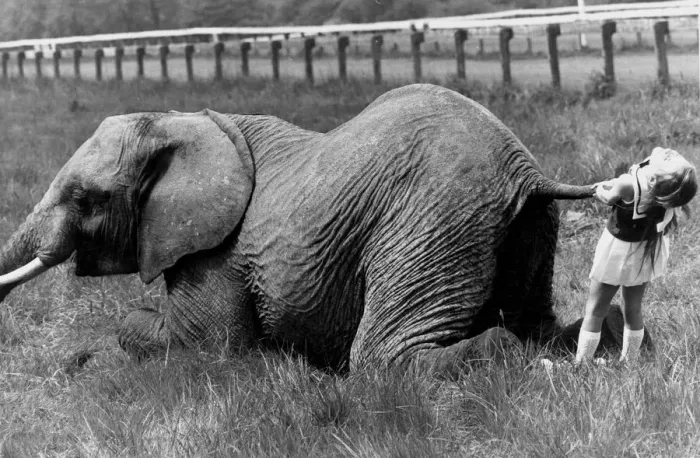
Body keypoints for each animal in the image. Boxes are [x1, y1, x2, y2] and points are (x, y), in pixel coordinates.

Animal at [1, 83, 632, 373]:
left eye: (85, 199)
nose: (70, 362)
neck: (182, 120)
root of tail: (526, 173)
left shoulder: (214, 253)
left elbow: (200, 347)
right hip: (529, 228)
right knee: (540, 320)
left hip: (434, 217)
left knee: (382, 358)